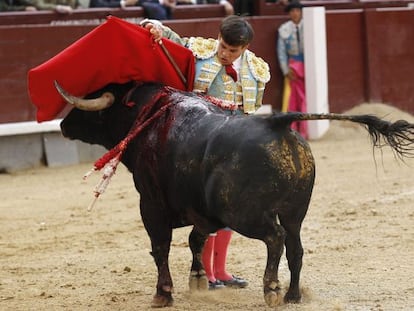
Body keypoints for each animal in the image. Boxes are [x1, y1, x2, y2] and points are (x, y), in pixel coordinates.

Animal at [55, 81, 414, 308]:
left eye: (90, 110)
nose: (62, 125)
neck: (150, 115)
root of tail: (277, 123)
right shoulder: (202, 212)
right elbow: (196, 241)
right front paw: (199, 279)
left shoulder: (151, 205)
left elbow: (161, 248)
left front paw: (163, 294)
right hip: (296, 211)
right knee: (295, 247)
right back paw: (293, 295)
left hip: (245, 214)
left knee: (275, 237)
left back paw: (272, 289)